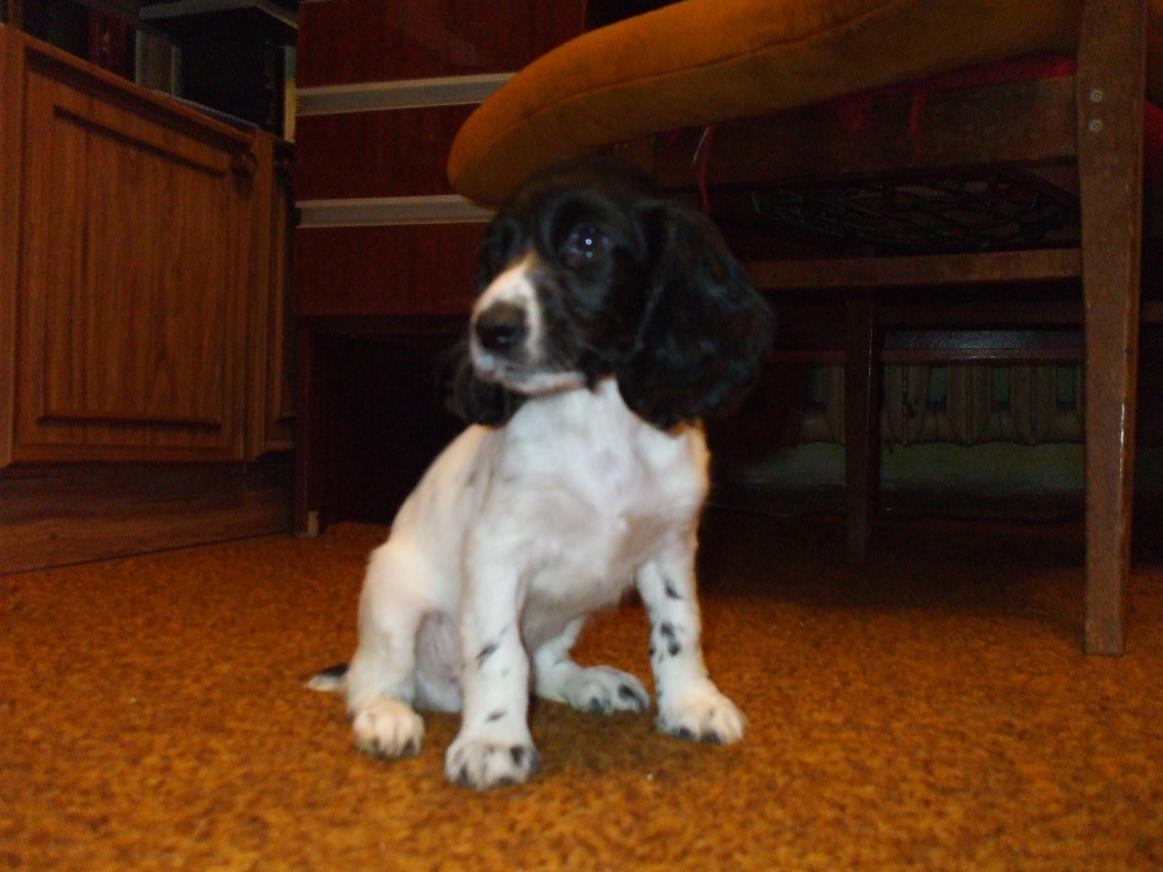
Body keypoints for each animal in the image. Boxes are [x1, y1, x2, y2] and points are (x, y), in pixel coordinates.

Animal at [312, 161, 774, 790]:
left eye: (588, 242)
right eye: (496, 254)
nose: (489, 328)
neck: (598, 419)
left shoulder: (671, 547)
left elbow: (681, 628)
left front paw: (692, 704)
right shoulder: (497, 553)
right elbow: (498, 653)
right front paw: (492, 741)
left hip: (574, 609)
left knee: (545, 664)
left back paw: (590, 682)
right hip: (391, 597)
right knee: (374, 679)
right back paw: (387, 717)